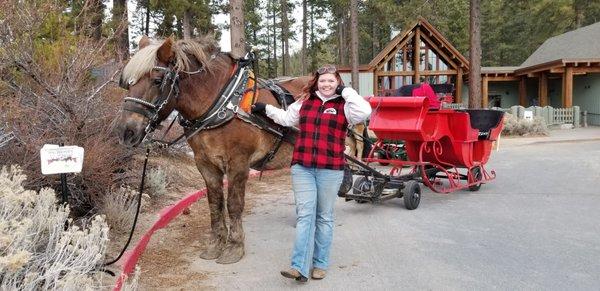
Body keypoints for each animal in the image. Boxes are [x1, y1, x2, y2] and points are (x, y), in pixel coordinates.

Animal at [114, 36, 310, 264]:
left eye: (157, 80)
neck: (222, 103)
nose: (126, 131)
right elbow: (215, 203)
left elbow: (233, 204)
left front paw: (234, 247)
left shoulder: (238, 163)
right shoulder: (205, 163)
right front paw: (216, 245)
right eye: (129, 83)